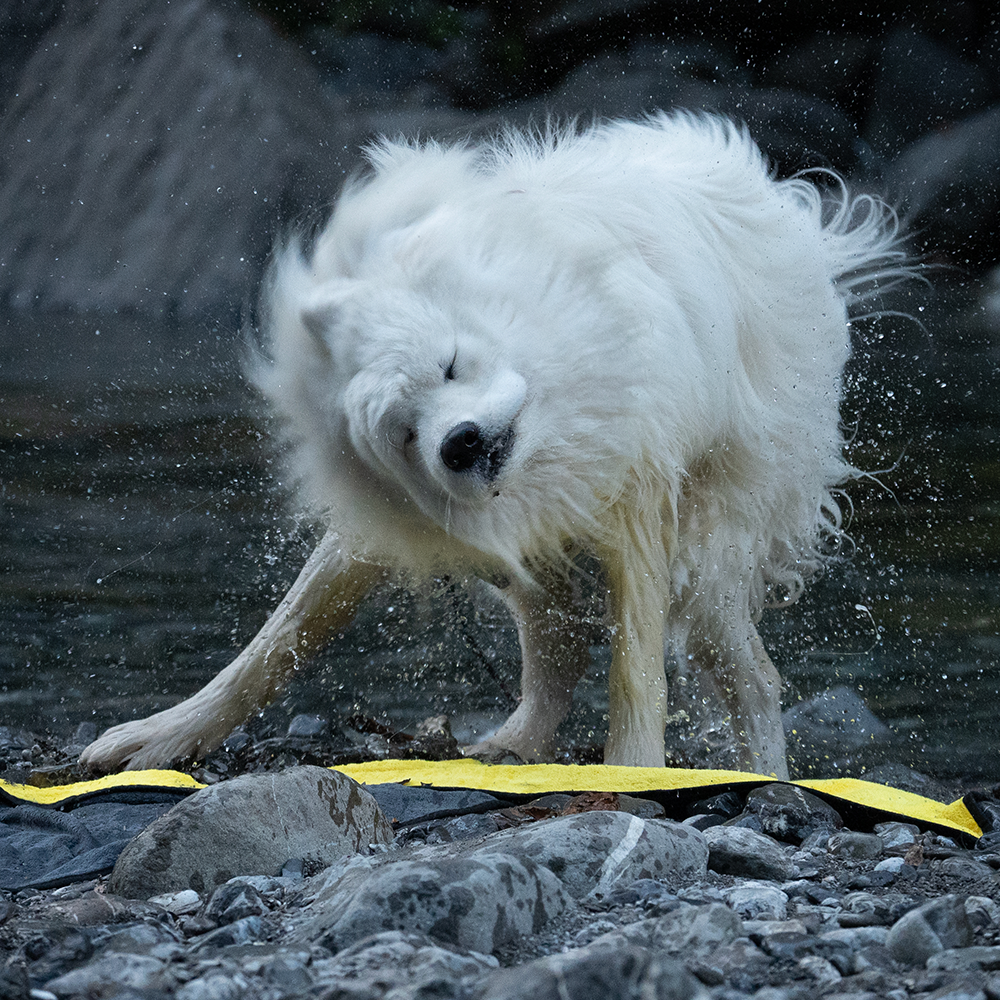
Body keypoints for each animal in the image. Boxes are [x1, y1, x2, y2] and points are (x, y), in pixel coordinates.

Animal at [82, 113, 904, 776]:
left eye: (450, 364)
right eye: (403, 434)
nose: (460, 443)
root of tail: (786, 211)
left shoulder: (635, 486)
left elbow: (636, 665)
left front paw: (631, 768)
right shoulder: (416, 522)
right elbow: (278, 636)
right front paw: (158, 737)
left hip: (712, 544)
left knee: (750, 676)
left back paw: (766, 777)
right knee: (559, 651)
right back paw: (510, 747)